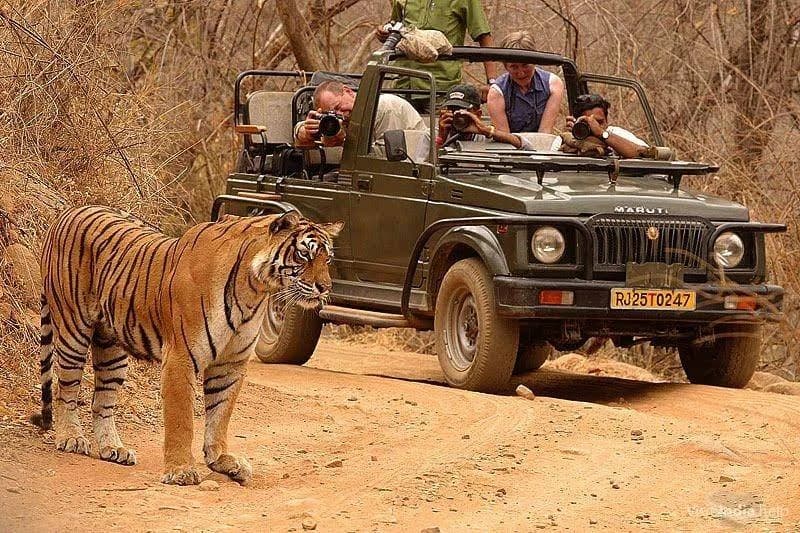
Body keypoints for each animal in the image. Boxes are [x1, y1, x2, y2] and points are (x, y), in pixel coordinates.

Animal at [31, 205, 342, 486]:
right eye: (304, 254)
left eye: (327, 258)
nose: (325, 288)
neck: (254, 288)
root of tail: (65, 213)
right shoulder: (181, 356)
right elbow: (182, 419)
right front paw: (180, 471)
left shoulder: (230, 363)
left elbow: (220, 414)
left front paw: (222, 460)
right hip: (73, 330)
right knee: (65, 389)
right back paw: (71, 438)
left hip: (112, 347)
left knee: (102, 400)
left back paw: (113, 449)